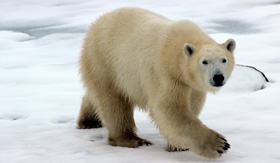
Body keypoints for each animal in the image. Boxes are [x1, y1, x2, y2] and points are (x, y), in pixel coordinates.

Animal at [76, 7, 234, 159]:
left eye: (224, 60)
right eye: (204, 62)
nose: (218, 77)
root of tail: (95, 24)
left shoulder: (192, 85)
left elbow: (192, 104)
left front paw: (177, 145)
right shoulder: (166, 73)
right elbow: (167, 107)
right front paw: (219, 144)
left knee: (97, 96)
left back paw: (89, 121)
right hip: (104, 61)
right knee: (113, 103)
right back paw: (132, 139)